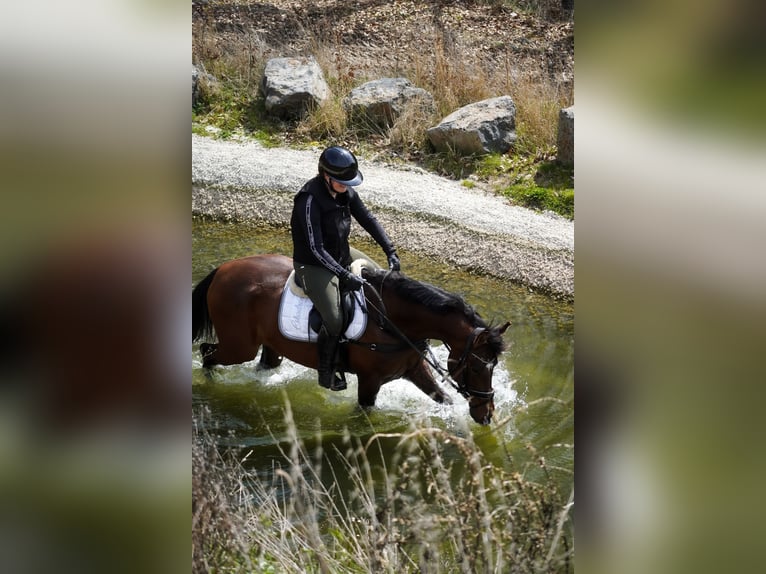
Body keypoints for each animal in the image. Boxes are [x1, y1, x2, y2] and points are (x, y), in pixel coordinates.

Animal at [192, 254, 510, 425]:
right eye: (478, 367)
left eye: (493, 367)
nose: (486, 413)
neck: (392, 321)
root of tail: (222, 270)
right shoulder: (370, 380)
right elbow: (364, 413)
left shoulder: (414, 369)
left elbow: (443, 399)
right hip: (239, 347)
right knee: (207, 353)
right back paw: (211, 388)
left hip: (270, 346)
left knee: (261, 366)